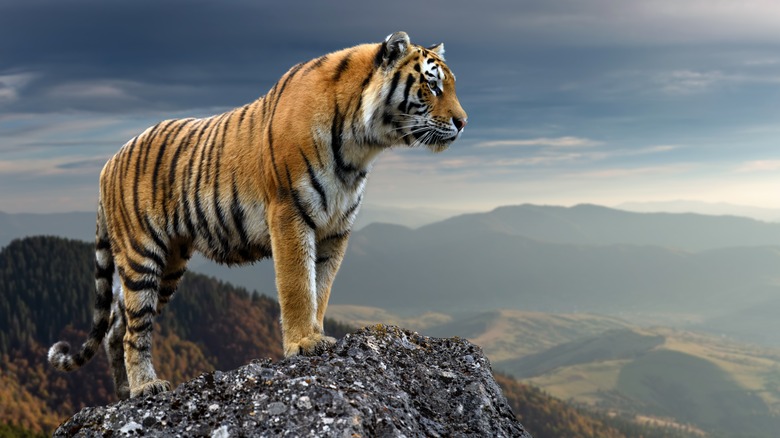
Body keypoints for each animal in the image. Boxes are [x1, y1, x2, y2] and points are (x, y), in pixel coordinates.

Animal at [48, 31, 466, 400]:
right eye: (432, 87)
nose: (463, 122)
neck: (360, 147)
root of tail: (107, 163)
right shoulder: (290, 214)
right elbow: (298, 285)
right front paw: (304, 343)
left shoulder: (336, 230)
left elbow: (321, 288)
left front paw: (317, 334)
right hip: (142, 255)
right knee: (135, 330)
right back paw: (145, 388)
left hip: (169, 265)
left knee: (116, 327)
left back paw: (123, 394)